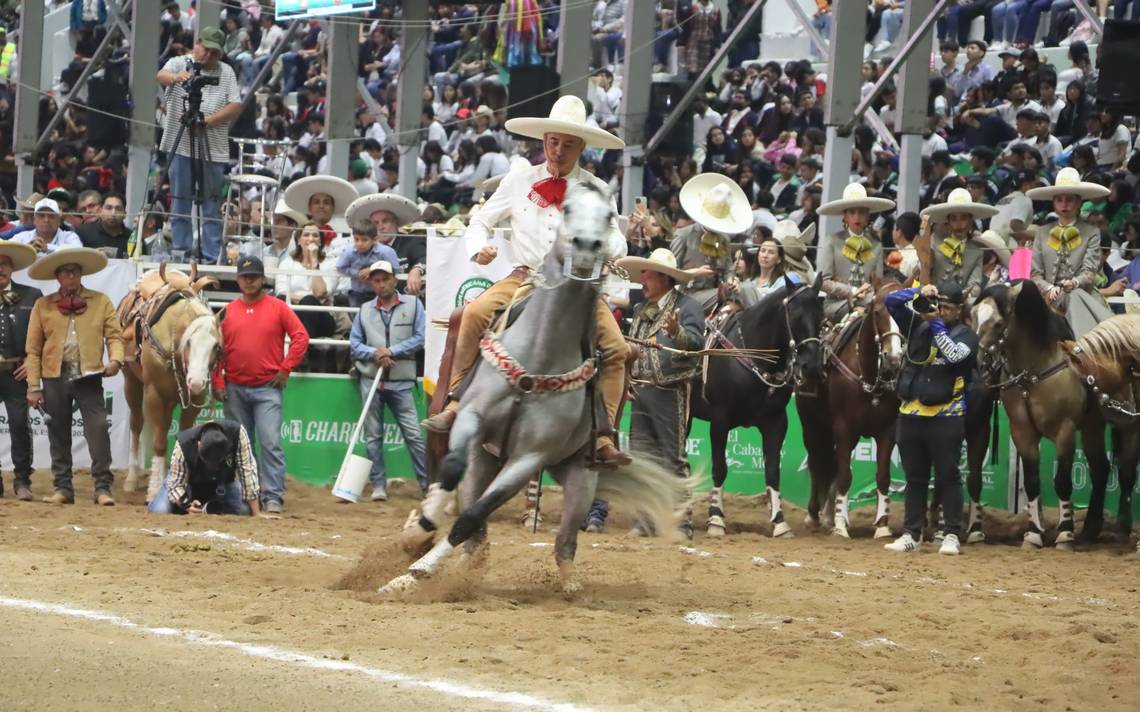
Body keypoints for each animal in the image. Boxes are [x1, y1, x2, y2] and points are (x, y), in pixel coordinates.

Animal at [119, 262, 221, 498]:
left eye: (216, 346)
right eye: (189, 342)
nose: (197, 382)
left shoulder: (194, 400)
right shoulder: (154, 393)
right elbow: (158, 442)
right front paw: (155, 489)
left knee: (163, 426)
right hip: (132, 382)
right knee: (137, 425)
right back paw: (132, 477)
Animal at [383, 183, 684, 592]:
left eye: (609, 215)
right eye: (567, 208)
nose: (586, 245)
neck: (541, 354)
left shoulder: (530, 458)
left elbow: (472, 516)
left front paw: (417, 565)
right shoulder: (473, 418)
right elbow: (454, 471)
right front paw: (418, 531)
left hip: (579, 477)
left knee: (561, 541)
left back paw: (568, 585)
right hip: (483, 458)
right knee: (466, 505)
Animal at [688, 274, 825, 535]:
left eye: (821, 315)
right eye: (794, 314)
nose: (811, 365)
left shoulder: (776, 422)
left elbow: (772, 471)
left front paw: (780, 522)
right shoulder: (720, 420)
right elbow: (720, 468)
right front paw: (716, 519)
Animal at [798, 280, 902, 535]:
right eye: (878, 311)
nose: (894, 358)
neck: (869, 376)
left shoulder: (888, 431)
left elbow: (882, 476)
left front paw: (882, 525)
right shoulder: (844, 428)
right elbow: (845, 475)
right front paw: (840, 526)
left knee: (831, 464)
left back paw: (827, 514)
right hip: (812, 425)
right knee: (817, 463)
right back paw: (814, 515)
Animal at [1057, 312, 1140, 544]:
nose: (1127, 410)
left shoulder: (1134, 427)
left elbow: (1127, 471)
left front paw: (1123, 526)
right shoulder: (1093, 426)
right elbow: (1100, 469)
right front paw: (1092, 526)